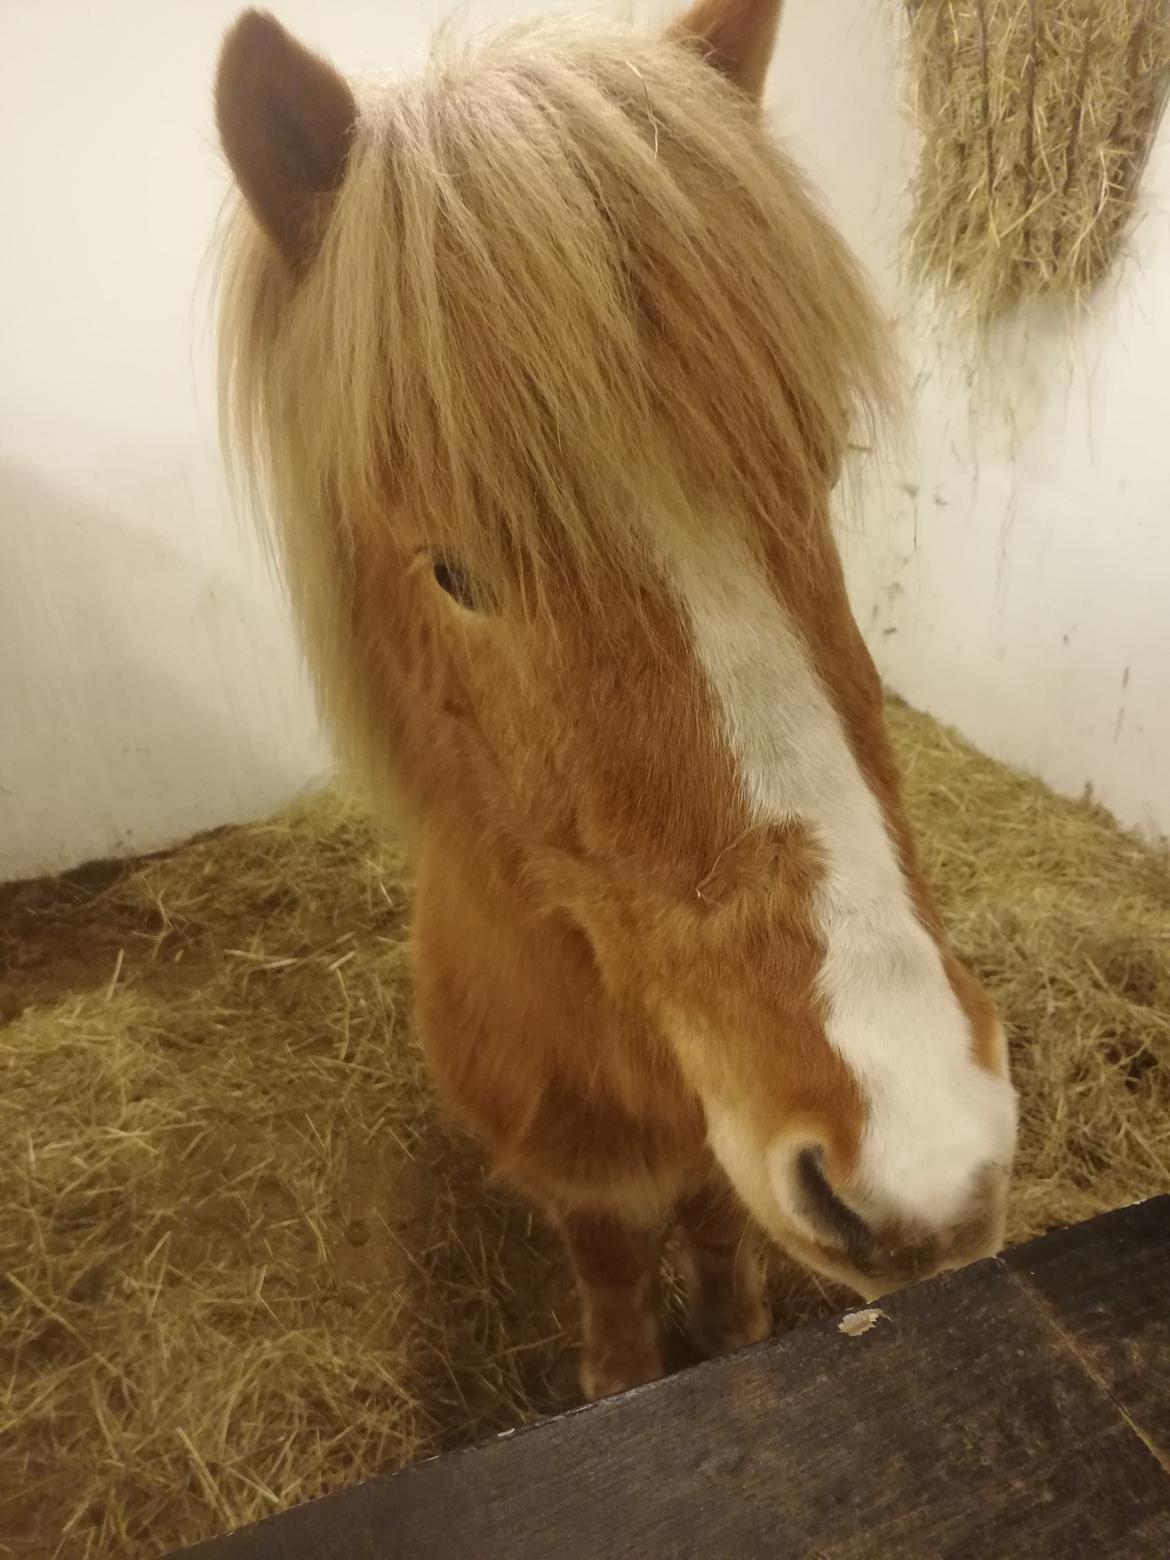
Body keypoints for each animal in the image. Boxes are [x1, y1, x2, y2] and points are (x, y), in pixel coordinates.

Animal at [215, 0, 1023, 1397]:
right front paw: (623, 1370)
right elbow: (609, 1273)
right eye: (457, 570)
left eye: (814, 467)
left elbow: (715, 1227)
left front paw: (731, 1326)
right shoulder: (576, 1173)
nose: (925, 1151)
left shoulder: (708, 1153)